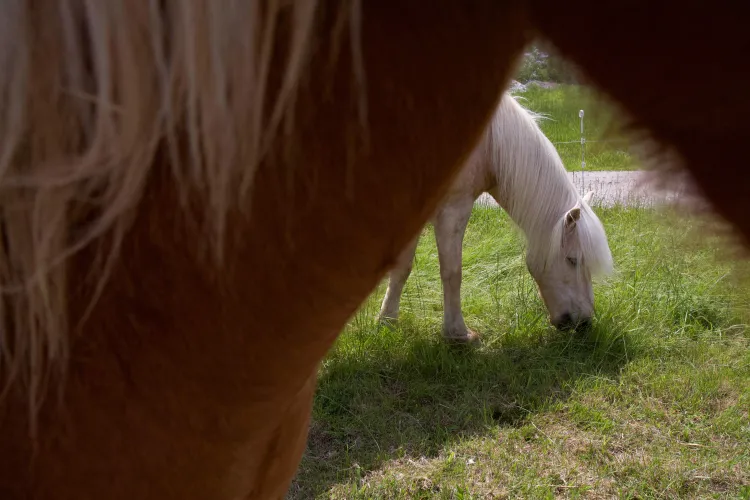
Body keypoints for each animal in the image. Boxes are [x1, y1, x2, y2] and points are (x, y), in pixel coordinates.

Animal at [378, 94, 613, 340]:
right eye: (572, 260)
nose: (584, 323)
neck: (488, 144)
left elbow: (402, 268)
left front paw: (387, 321)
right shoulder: (454, 208)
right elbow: (452, 272)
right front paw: (458, 334)